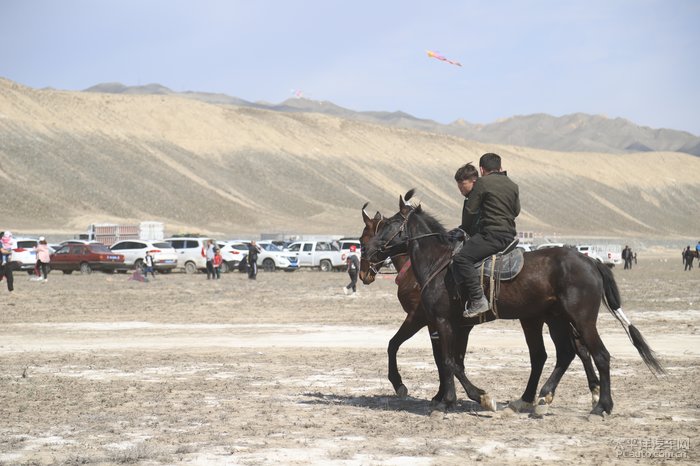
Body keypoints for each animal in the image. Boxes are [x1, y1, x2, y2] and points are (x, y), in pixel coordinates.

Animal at [364, 189, 664, 416]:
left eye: (388, 225)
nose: (366, 253)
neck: (438, 264)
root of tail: (591, 261)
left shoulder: (441, 321)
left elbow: (448, 361)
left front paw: (466, 398)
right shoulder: (452, 325)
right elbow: (452, 361)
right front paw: (452, 398)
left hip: (580, 319)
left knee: (599, 355)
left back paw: (600, 406)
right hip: (553, 319)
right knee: (563, 353)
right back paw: (538, 398)